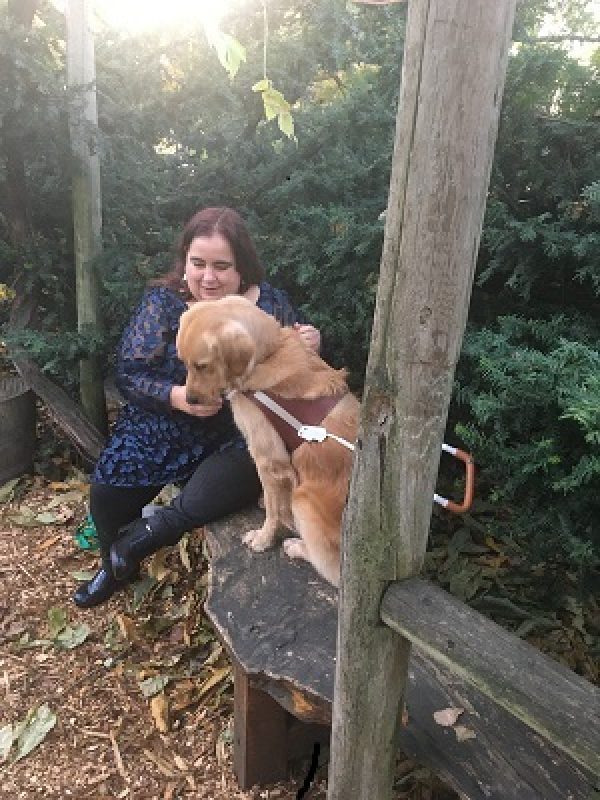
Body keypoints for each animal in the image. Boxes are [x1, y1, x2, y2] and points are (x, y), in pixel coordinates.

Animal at [176, 296, 358, 584]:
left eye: (202, 365)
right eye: (183, 362)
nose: (190, 400)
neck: (267, 355)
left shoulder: (267, 458)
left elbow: (274, 510)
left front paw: (262, 539)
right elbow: (275, 501)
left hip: (304, 499)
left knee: (332, 572)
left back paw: (297, 546)